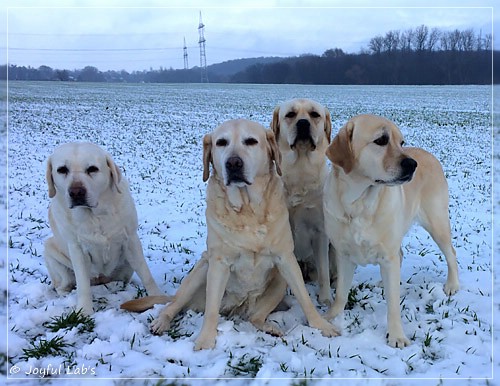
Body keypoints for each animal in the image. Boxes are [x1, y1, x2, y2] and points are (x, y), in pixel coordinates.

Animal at [43, 142, 160, 314]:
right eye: (62, 169)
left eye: (92, 169)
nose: (76, 192)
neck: (95, 216)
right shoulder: (77, 249)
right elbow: (83, 284)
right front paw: (84, 311)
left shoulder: (131, 240)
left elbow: (146, 275)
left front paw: (158, 299)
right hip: (50, 250)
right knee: (63, 285)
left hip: (125, 267)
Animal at [121, 120, 340, 350]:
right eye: (221, 142)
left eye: (251, 141)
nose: (233, 163)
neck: (248, 209)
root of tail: (237, 308)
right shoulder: (219, 263)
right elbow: (211, 311)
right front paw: (205, 341)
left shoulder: (286, 259)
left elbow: (305, 298)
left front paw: (321, 325)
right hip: (201, 271)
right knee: (174, 304)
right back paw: (161, 322)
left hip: (279, 282)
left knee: (255, 317)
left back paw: (268, 327)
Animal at [272, 99, 334, 308]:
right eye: (290, 114)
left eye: (315, 114)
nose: (303, 123)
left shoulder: (321, 231)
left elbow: (323, 271)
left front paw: (325, 298)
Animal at [324, 114, 460, 346]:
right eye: (381, 140)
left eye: (401, 142)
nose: (412, 164)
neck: (359, 205)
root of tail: (430, 155)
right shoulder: (343, 255)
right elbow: (341, 292)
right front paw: (331, 317)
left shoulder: (388, 256)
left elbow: (393, 304)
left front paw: (396, 336)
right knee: (402, 254)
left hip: (437, 223)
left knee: (451, 253)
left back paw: (452, 285)